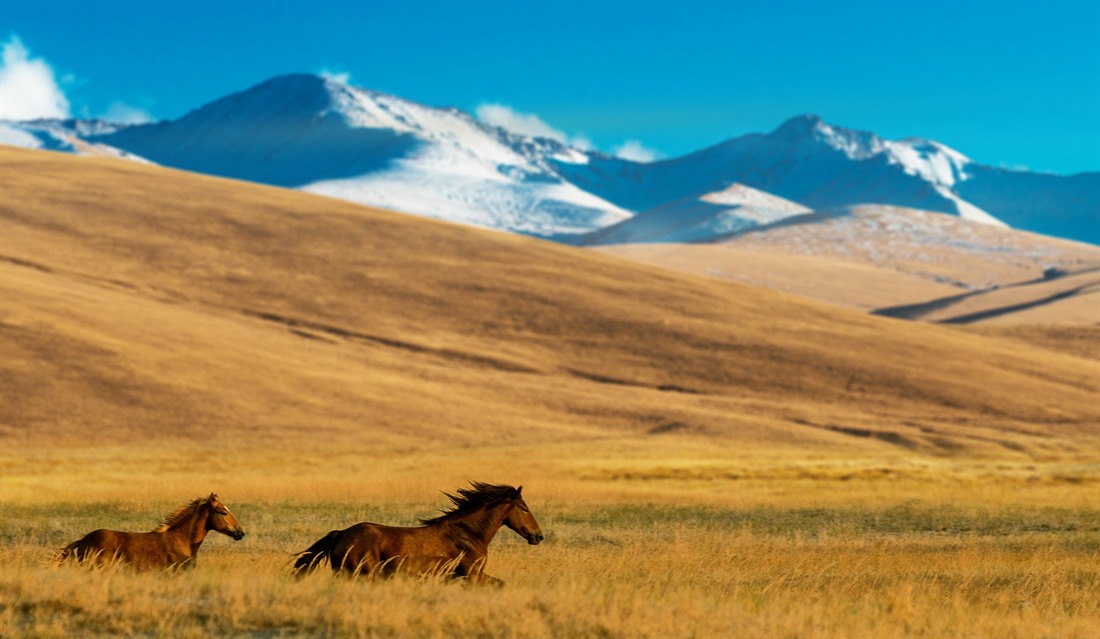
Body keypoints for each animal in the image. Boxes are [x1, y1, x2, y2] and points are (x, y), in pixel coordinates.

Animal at [292, 483, 541, 585]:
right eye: (524, 508)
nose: (538, 536)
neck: (468, 534)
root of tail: (341, 533)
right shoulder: (471, 575)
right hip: (362, 573)